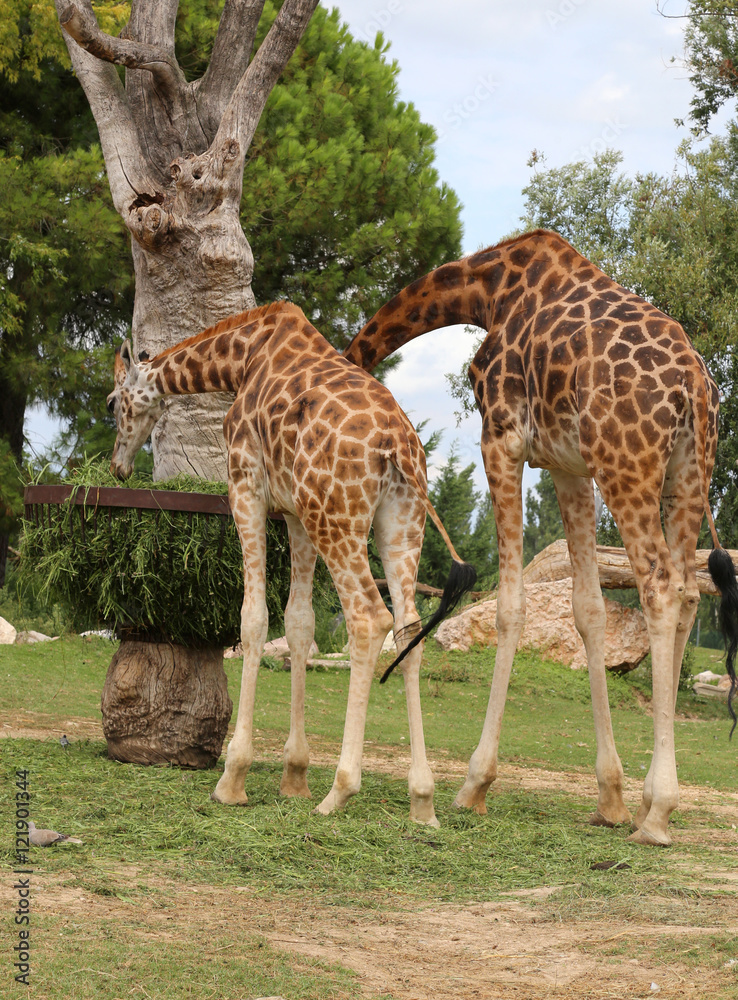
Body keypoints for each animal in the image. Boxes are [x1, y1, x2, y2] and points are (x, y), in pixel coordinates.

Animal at [107, 301, 476, 825]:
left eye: (111, 404)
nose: (117, 466)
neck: (240, 357)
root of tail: (397, 449)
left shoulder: (247, 486)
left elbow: (254, 619)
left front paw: (233, 779)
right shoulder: (297, 515)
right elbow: (299, 622)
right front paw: (294, 777)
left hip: (337, 517)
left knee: (368, 618)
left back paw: (340, 790)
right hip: (400, 523)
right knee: (408, 627)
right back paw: (422, 801)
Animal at [344, 228, 738, 846]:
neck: (487, 291)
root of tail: (696, 385)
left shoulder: (501, 438)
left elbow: (511, 607)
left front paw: (475, 785)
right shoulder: (568, 466)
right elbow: (588, 609)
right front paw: (610, 797)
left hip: (626, 466)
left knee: (660, 587)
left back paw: (658, 815)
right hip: (688, 474)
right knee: (690, 592)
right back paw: (650, 801)